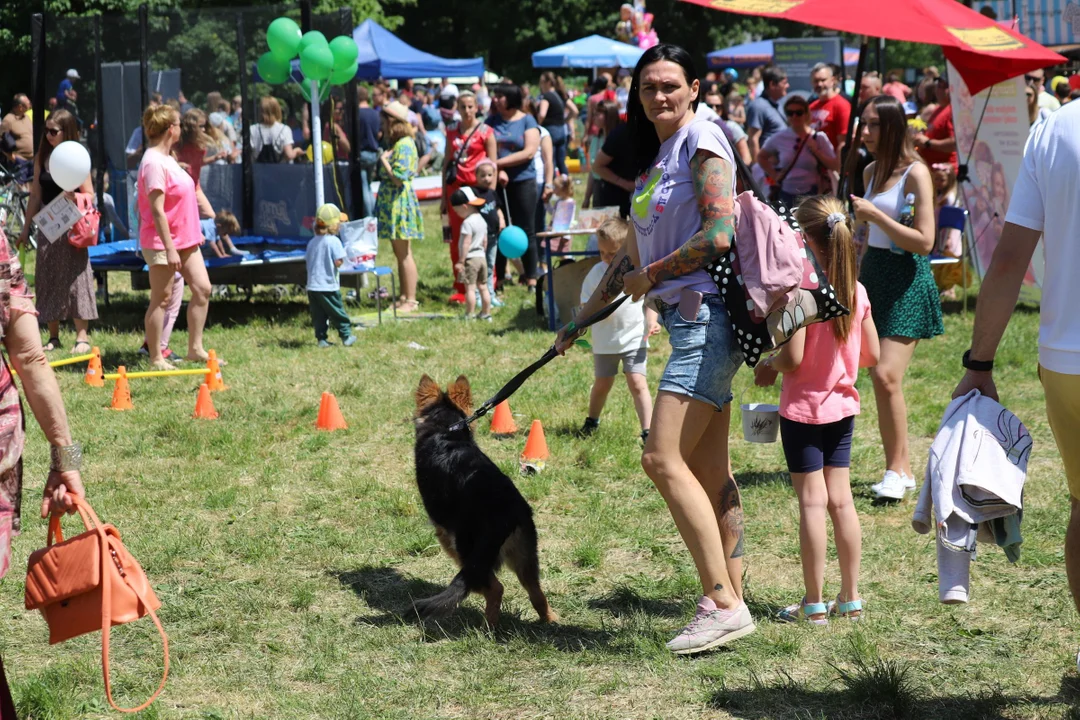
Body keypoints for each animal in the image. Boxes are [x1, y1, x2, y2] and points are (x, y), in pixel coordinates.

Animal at [410, 375, 557, 626]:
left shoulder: (444, 532)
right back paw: (550, 619)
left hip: (468, 551)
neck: (446, 431)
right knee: (536, 592)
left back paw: (487, 627)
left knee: (495, 588)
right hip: (525, 554)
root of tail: (505, 514)